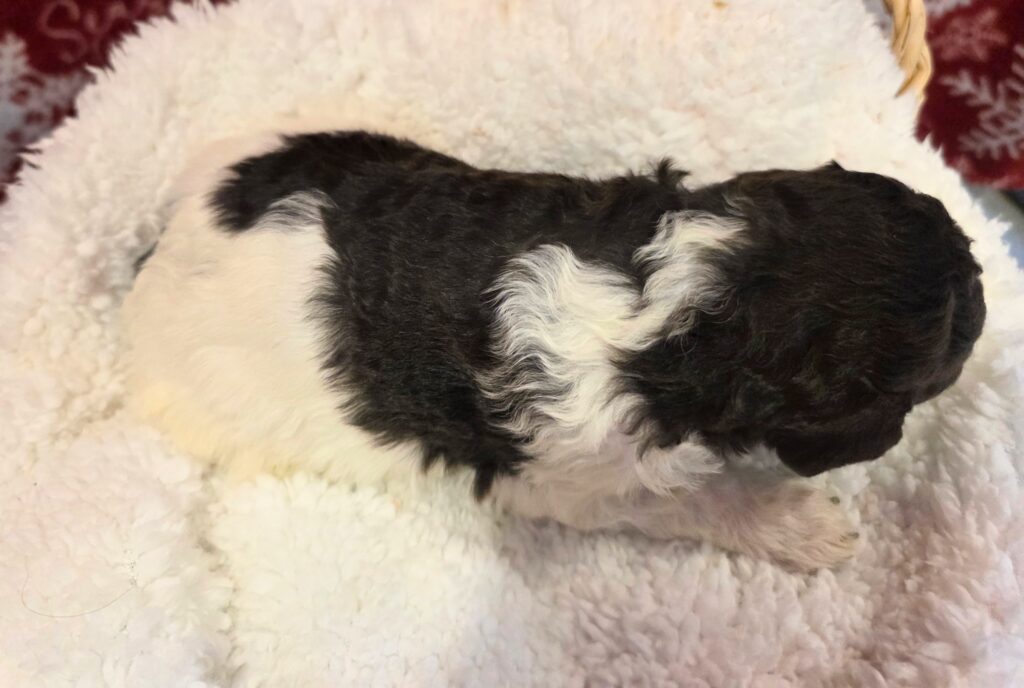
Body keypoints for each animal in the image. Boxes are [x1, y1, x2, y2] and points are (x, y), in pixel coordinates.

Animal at [122, 130, 985, 571]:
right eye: (938, 346)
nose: (982, 289)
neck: (689, 303)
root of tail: (158, 255)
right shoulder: (585, 481)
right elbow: (697, 498)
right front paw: (809, 530)